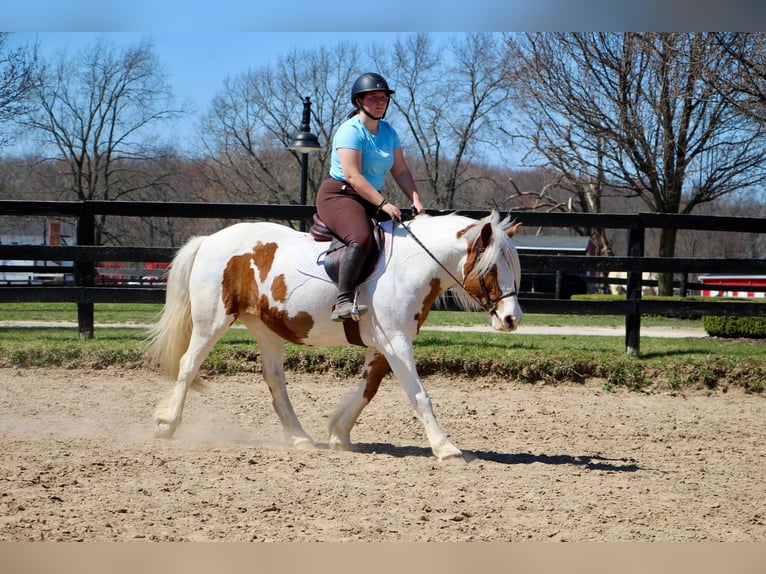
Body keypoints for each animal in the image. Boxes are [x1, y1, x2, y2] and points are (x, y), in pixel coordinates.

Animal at [147, 212, 524, 464]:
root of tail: (209, 240)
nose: (512, 318)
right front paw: (446, 449)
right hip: (212, 321)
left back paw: (300, 438)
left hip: (265, 329)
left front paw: (339, 432)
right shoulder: (396, 342)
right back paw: (167, 424)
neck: (409, 266)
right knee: (188, 365)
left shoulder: (385, 344)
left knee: (275, 380)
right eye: (491, 268)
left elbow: (368, 388)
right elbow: (419, 396)